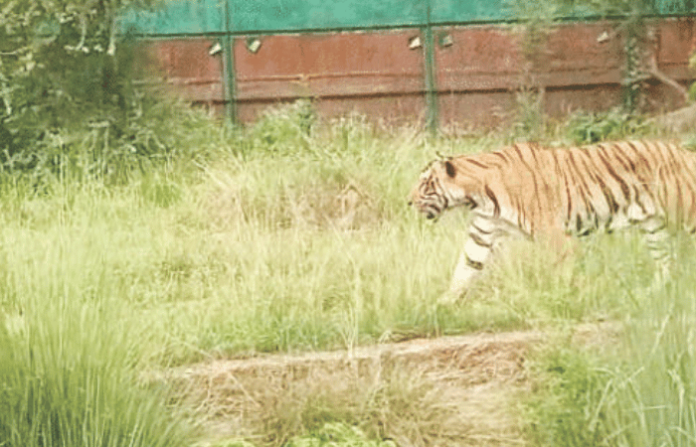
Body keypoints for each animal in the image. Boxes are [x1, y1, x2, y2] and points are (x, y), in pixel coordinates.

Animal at [408, 140, 696, 303]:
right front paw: (443, 304)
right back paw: (650, 294)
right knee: (667, 265)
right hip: (655, 229)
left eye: (424, 184)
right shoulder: (483, 232)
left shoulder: (557, 237)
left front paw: (561, 298)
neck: (478, 195)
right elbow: (465, 268)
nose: (408, 202)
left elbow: (562, 274)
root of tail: (687, 153)